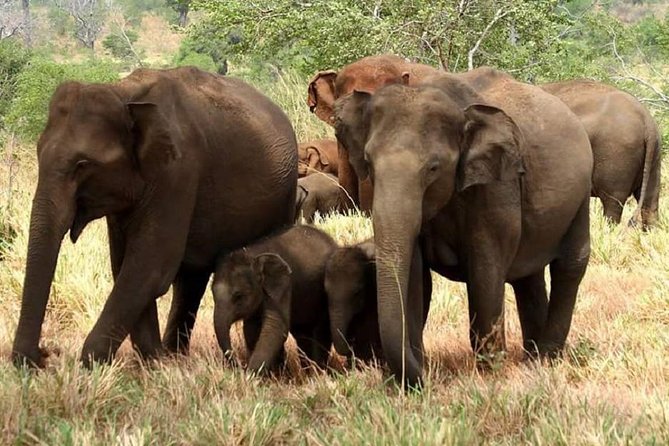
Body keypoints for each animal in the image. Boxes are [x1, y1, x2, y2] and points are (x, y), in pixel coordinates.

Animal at [12, 67, 297, 368]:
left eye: (82, 165)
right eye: (38, 153)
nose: (43, 355)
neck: (123, 92)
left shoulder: (178, 172)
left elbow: (150, 265)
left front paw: (93, 362)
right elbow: (126, 264)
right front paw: (154, 361)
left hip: (285, 199)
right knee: (191, 279)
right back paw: (174, 355)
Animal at [212, 225, 336, 372]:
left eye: (239, 296)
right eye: (212, 293)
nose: (239, 366)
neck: (252, 254)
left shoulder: (283, 284)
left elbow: (275, 327)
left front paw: (251, 375)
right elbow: (251, 330)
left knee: (320, 333)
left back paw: (318, 371)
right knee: (302, 334)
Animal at [334, 67, 593, 388]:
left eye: (433, 167)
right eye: (368, 162)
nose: (426, 378)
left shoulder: (496, 186)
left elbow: (485, 269)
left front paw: (491, 373)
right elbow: (416, 275)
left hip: (581, 194)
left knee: (569, 265)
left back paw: (546, 358)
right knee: (528, 277)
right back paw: (532, 359)